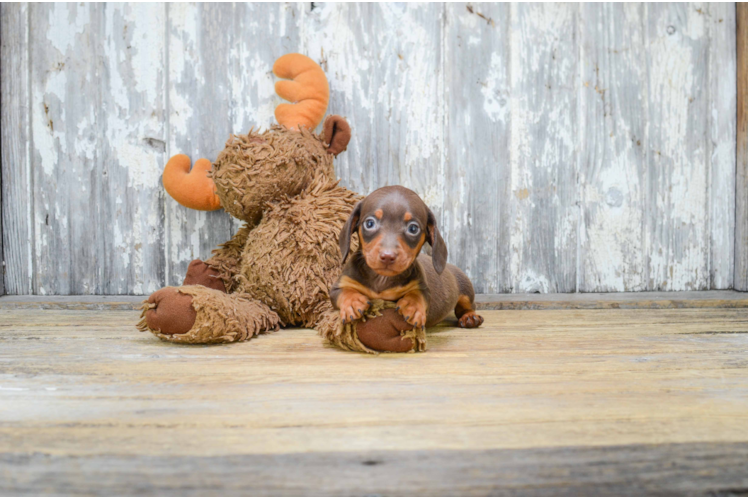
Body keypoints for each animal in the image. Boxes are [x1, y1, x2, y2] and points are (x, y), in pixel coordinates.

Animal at [328, 186, 482, 330]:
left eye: (413, 229)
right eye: (369, 223)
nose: (387, 256)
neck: (382, 279)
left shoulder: (422, 287)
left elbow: (417, 294)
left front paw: (412, 306)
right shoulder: (339, 286)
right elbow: (345, 291)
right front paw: (352, 302)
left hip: (466, 290)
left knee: (467, 306)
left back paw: (470, 317)